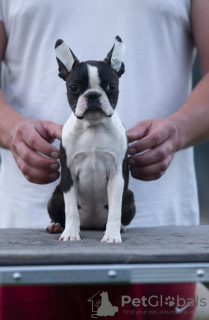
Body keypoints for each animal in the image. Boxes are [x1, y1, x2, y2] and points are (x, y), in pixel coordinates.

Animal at [47, 37, 136, 242]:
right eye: (73, 88)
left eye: (111, 86)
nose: (93, 95)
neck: (93, 126)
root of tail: (91, 224)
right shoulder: (69, 175)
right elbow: (71, 208)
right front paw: (70, 233)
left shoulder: (117, 175)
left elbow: (115, 210)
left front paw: (112, 235)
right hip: (55, 197)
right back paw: (57, 225)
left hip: (130, 198)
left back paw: (119, 228)